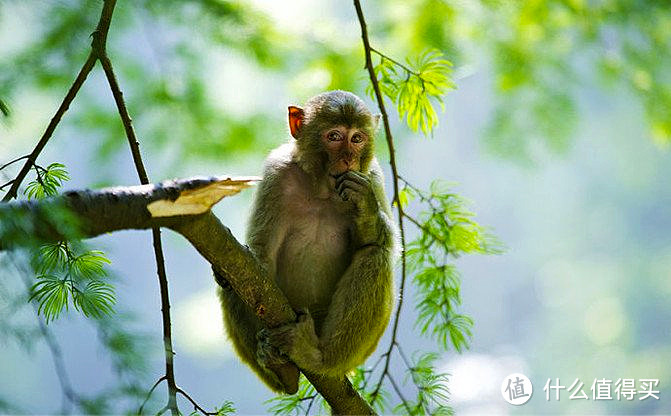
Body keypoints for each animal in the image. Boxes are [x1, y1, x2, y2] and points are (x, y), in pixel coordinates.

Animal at [218, 90, 396, 394]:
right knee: (231, 275)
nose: (348, 159)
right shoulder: (276, 175)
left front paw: (366, 208)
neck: (322, 189)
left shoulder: (371, 177)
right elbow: (259, 259)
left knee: (375, 254)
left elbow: (385, 243)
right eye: (334, 136)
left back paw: (320, 358)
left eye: (357, 139)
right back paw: (283, 372)